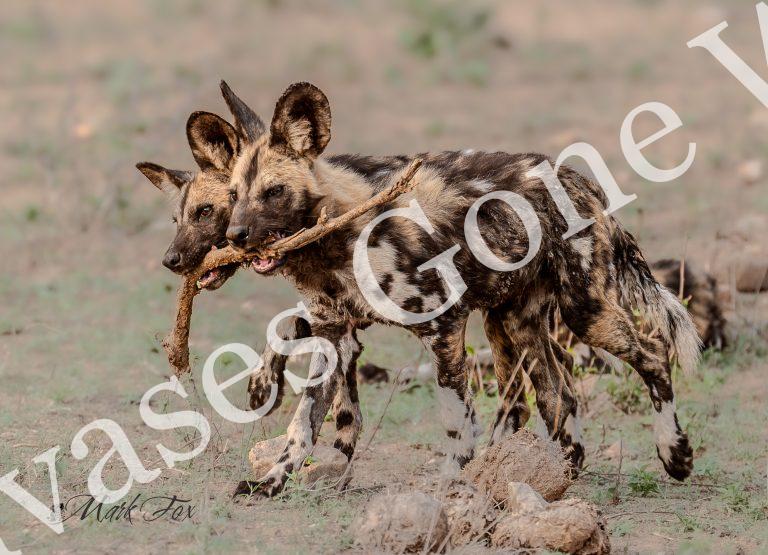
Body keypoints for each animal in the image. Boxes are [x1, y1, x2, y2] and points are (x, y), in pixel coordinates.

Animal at [211, 81, 700, 497]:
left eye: (274, 192)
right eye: (232, 196)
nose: (235, 236)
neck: (339, 236)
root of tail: (581, 179)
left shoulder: (442, 325)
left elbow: (454, 416)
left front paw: (452, 478)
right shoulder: (334, 336)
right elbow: (302, 426)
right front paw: (271, 482)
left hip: (585, 313)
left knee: (653, 355)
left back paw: (674, 453)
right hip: (513, 321)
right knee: (555, 395)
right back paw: (553, 469)